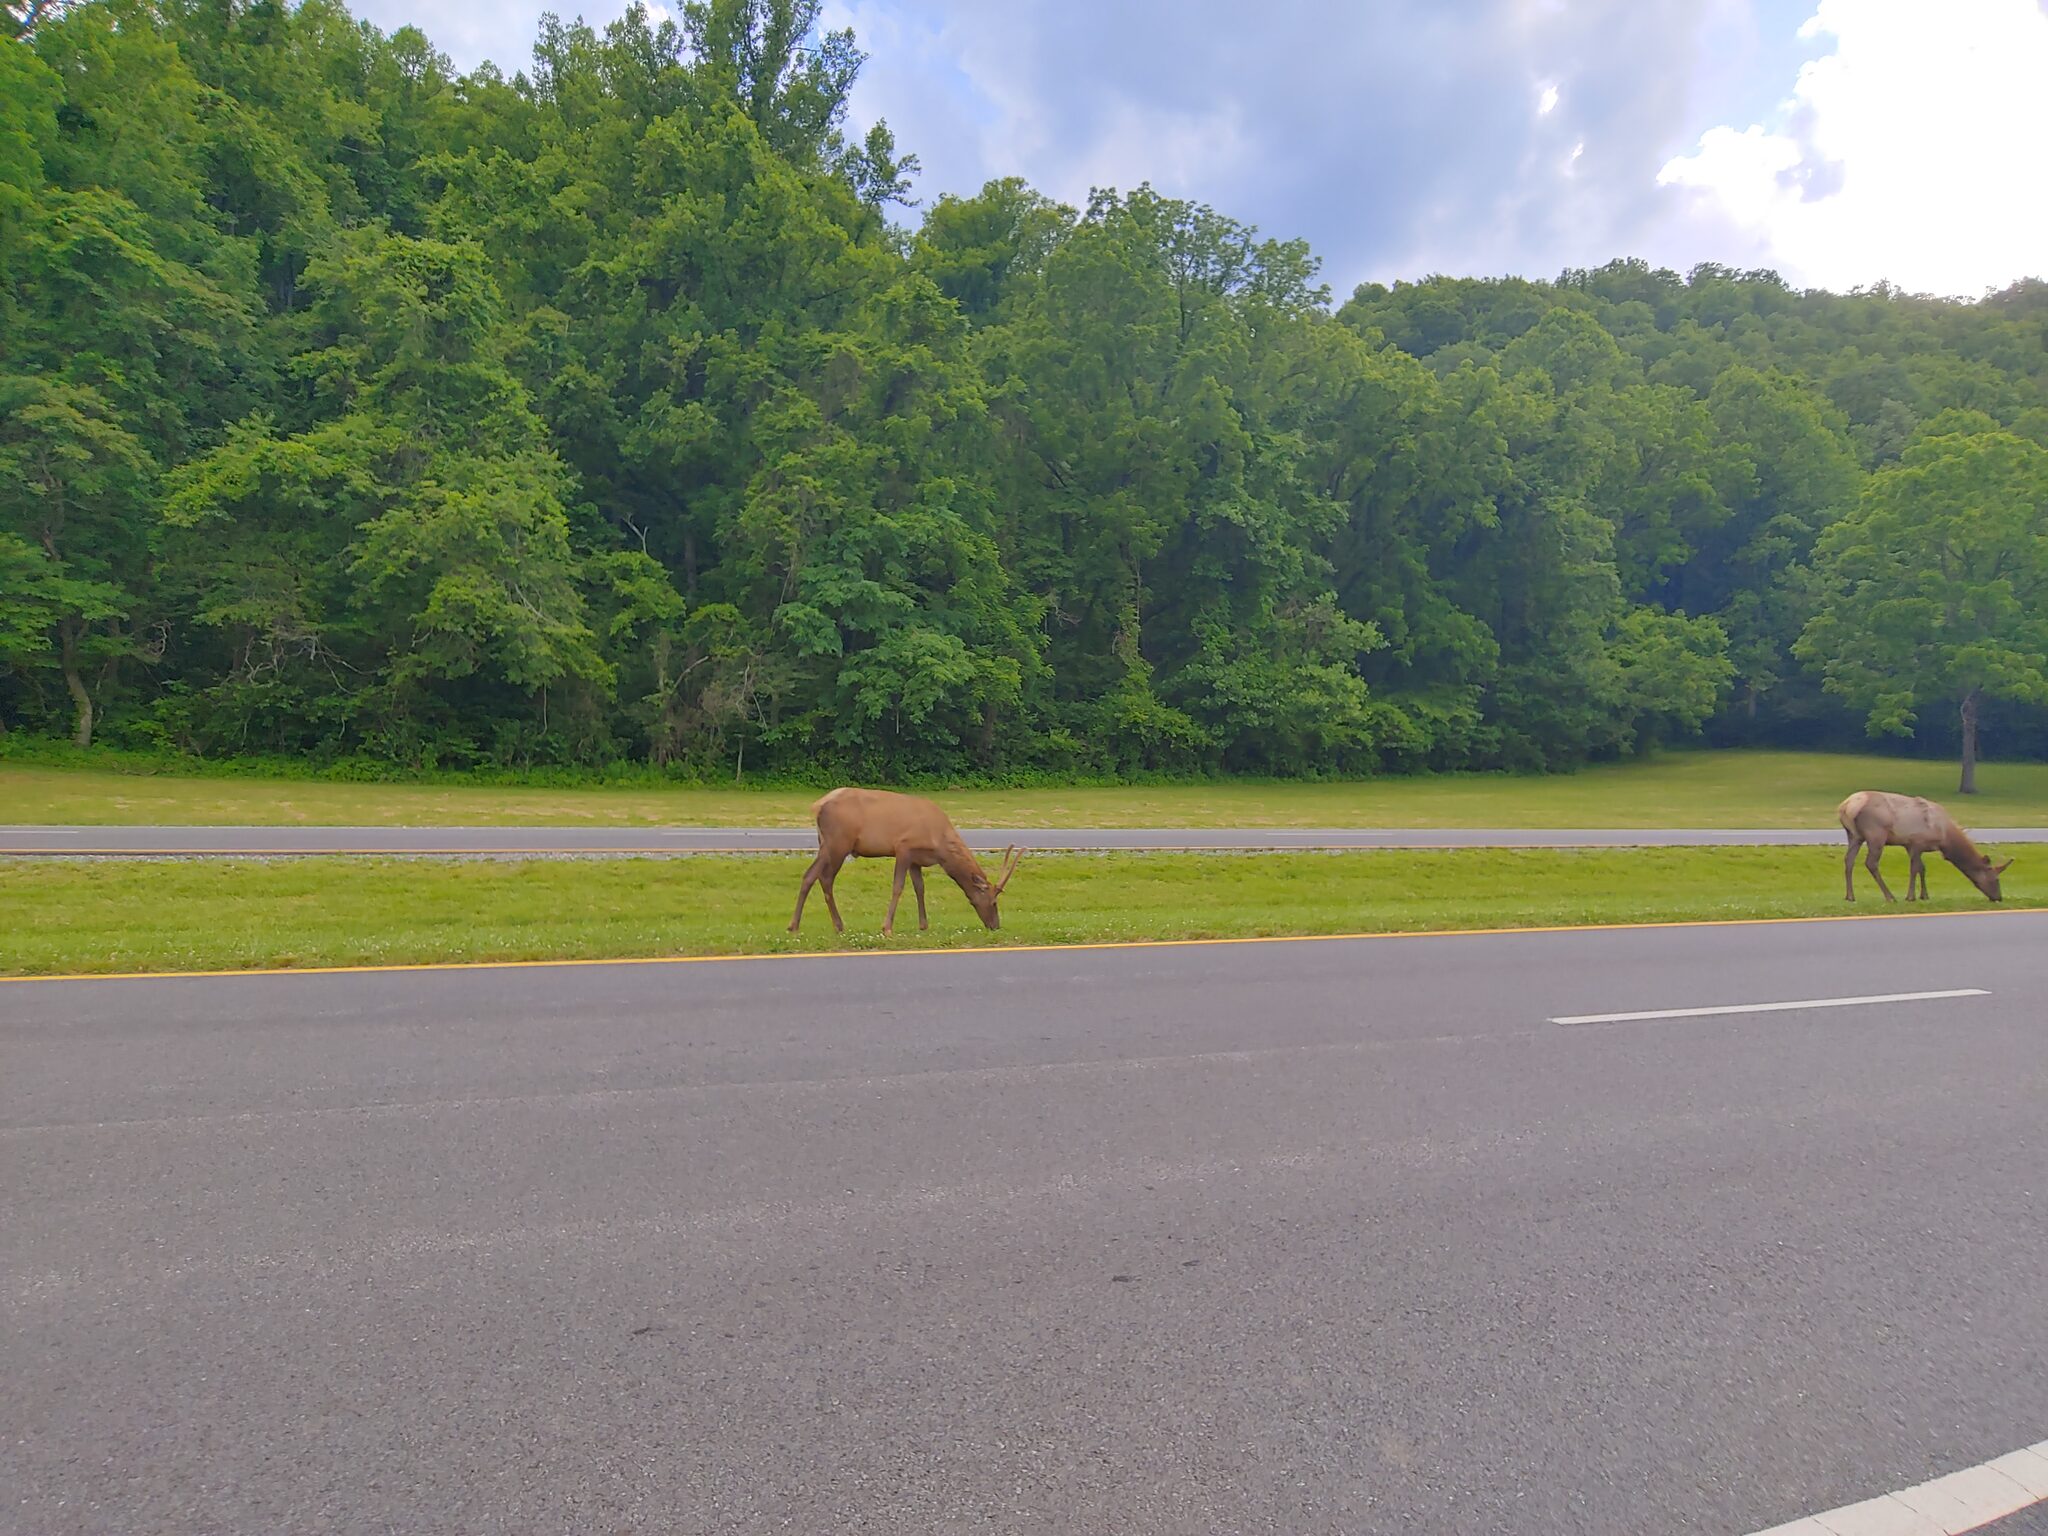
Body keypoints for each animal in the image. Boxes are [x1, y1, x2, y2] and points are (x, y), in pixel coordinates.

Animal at [789, 787, 1023, 937]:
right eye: (993, 902)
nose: (996, 926)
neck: (940, 846)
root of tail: (817, 806)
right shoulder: (903, 848)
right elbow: (898, 887)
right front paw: (887, 927)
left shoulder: (916, 860)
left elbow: (920, 888)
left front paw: (923, 924)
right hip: (836, 843)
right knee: (816, 876)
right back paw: (799, 926)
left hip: (827, 843)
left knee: (822, 877)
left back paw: (831, 925)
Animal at [1837, 790, 2011, 904]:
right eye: (1996, 878)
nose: (1999, 897)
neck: (1945, 837)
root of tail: (1847, 807)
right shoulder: (1916, 842)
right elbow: (1914, 868)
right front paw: (1910, 897)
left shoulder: (1910, 846)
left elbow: (1922, 868)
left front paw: (1924, 895)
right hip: (1876, 834)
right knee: (1871, 863)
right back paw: (1890, 896)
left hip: (1854, 835)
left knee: (1848, 860)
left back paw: (1849, 896)